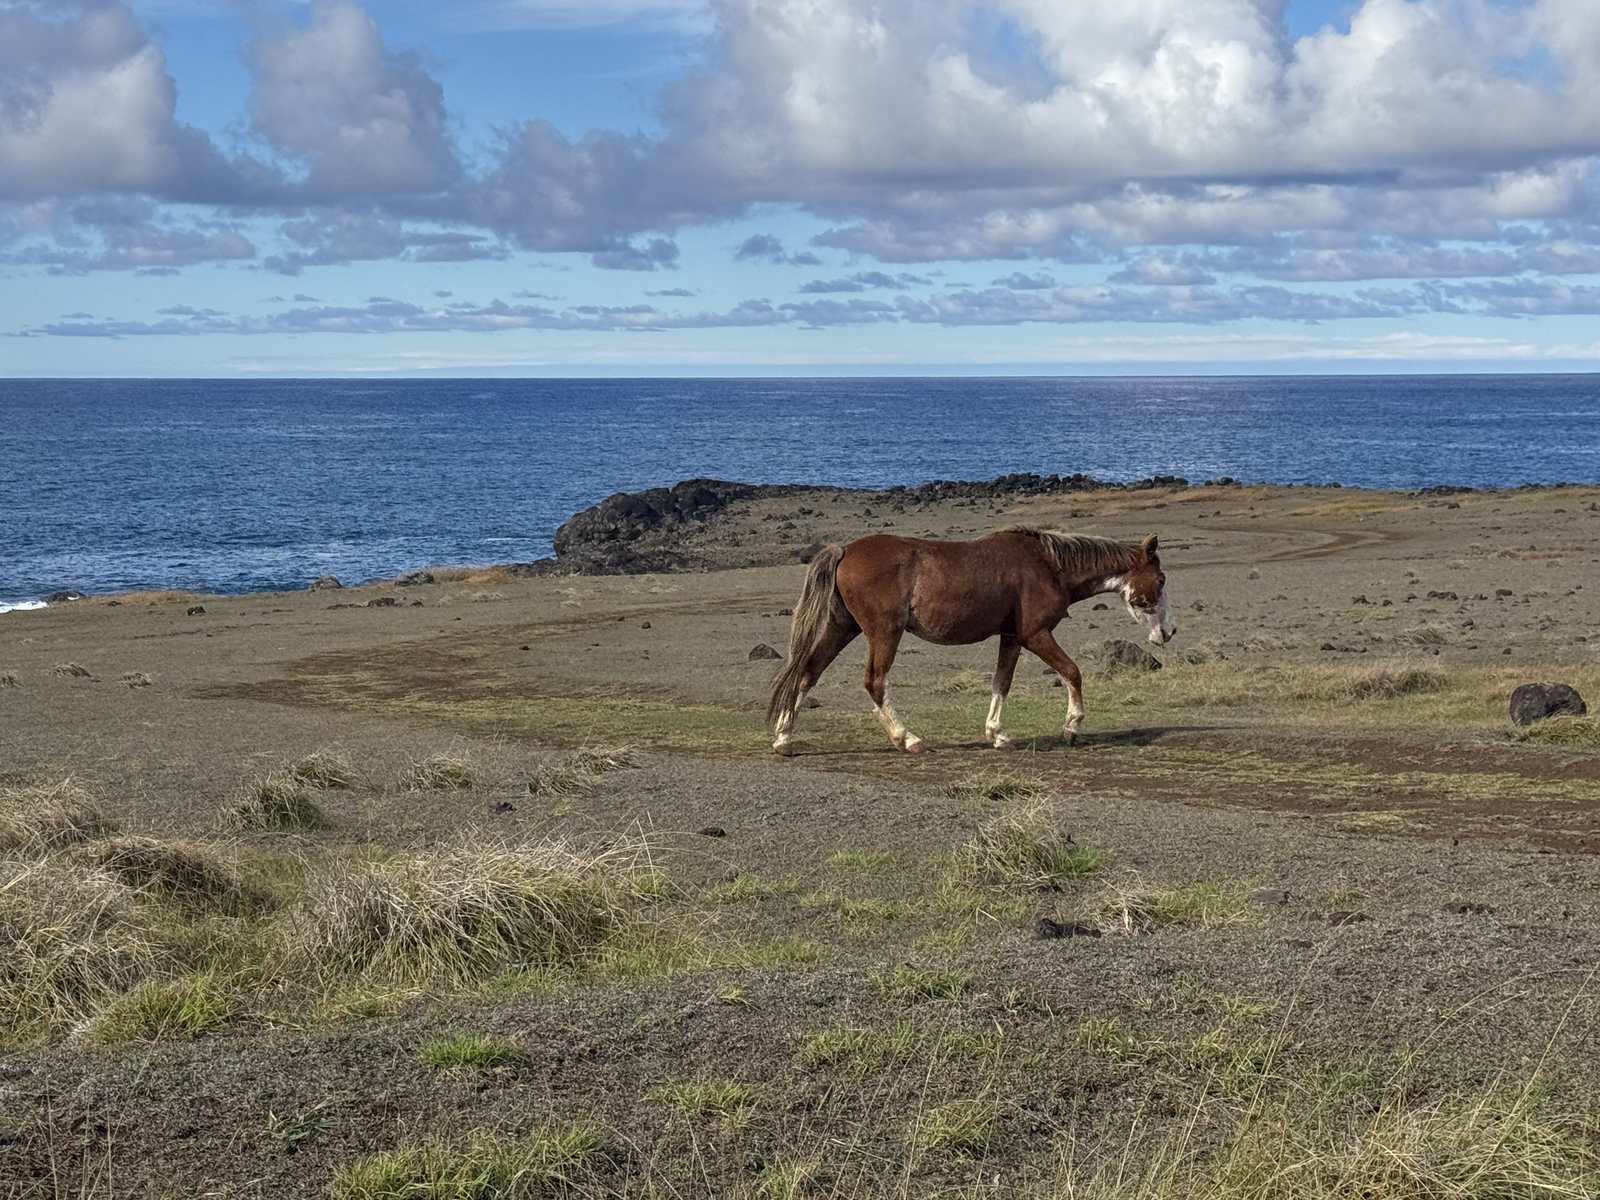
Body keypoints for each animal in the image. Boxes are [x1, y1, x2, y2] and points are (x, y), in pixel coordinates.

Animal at [768, 528, 1175, 755]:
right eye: (1161, 579)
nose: (1168, 632)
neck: (1048, 565)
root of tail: (845, 551)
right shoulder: (1035, 634)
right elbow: (1072, 673)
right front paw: (1072, 728)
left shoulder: (1011, 637)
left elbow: (1001, 683)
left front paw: (998, 734)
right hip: (884, 633)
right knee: (874, 682)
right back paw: (907, 738)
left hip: (842, 627)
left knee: (807, 673)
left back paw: (784, 739)